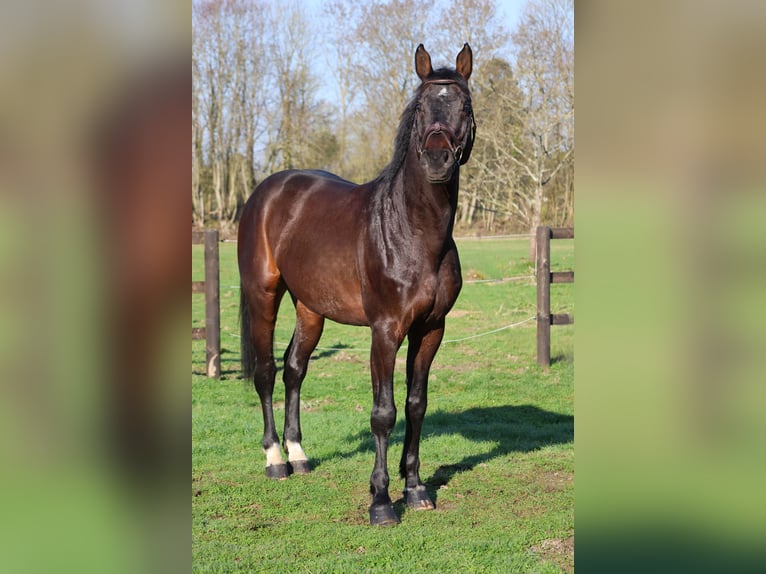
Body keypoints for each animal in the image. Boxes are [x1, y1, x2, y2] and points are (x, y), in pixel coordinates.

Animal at [238, 43, 475, 526]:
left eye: (464, 106)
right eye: (420, 107)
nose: (437, 159)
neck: (413, 232)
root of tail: (266, 191)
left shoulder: (431, 329)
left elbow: (416, 405)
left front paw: (416, 489)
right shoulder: (385, 331)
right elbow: (384, 413)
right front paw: (381, 501)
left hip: (311, 308)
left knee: (294, 369)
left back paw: (299, 454)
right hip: (263, 296)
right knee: (266, 371)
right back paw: (275, 460)